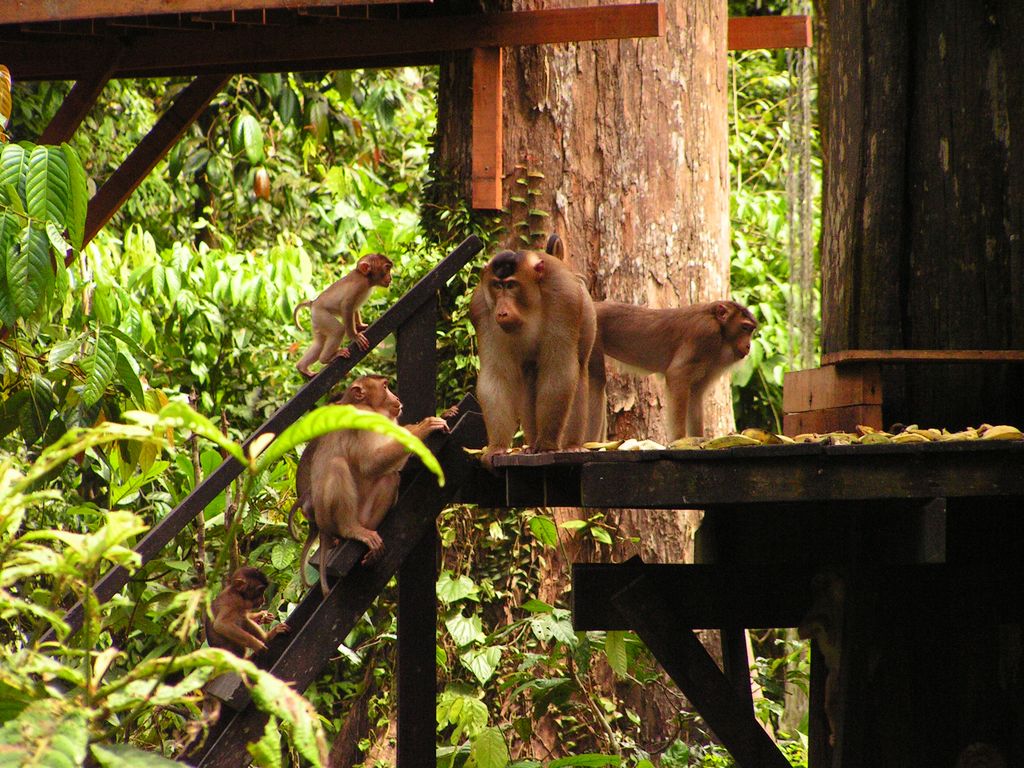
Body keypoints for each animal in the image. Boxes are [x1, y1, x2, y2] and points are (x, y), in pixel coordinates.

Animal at [468, 247, 598, 462]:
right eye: (497, 285)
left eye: (511, 285)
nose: (501, 312)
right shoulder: (481, 309)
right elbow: (497, 375)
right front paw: (497, 447)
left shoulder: (563, 296)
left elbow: (558, 368)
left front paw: (546, 445)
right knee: (529, 375)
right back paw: (531, 444)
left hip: (585, 310)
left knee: (579, 369)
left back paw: (571, 445)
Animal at [593, 303, 753, 442]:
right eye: (744, 327)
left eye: (751, 330)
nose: (749, 346)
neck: (720, 328)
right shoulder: (706, 332)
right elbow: (677, 374)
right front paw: (679, 439)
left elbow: (695, 394)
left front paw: (699, 439)